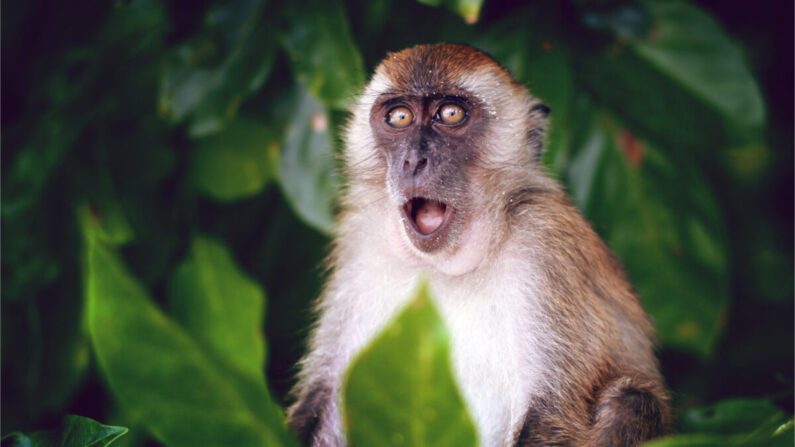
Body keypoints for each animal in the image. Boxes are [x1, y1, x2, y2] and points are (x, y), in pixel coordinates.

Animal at [287, 43, 670, 446]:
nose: (413, 160)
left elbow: (553, 414)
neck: (443, 268)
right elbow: (324, 402)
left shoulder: (544, 242)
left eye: (450, 113)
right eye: (400, 116)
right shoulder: (359, 242)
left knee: (631, 400)